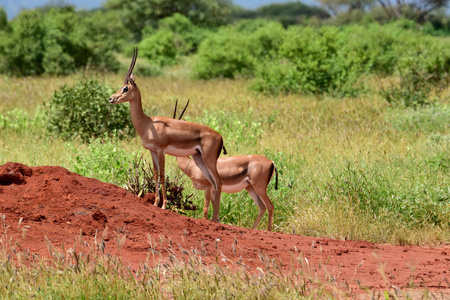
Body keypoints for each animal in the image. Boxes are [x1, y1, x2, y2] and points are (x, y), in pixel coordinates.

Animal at [109, 48, 225, 221]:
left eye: (125, 88)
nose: (111, 98)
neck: (148, 123)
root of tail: (220, 137)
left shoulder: (161, 150)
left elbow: (163, 175)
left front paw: (164, 205)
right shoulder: (152, 151)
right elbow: (156, 174)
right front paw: (155, 203)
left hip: (209, 160)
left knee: (219, 182)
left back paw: (214, 219)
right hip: (199, 159)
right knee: (212, 183)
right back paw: (213, 218)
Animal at [175, 102, 278, 231]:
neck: (193, 167)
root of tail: (271, 162)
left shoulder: (208, 187)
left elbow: (205, 208)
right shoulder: (214, 190)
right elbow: (215, 207)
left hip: (259, 188)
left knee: (270, 206)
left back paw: (268, 231)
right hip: (250, 188)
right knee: (262, 207)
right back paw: (253, 228)